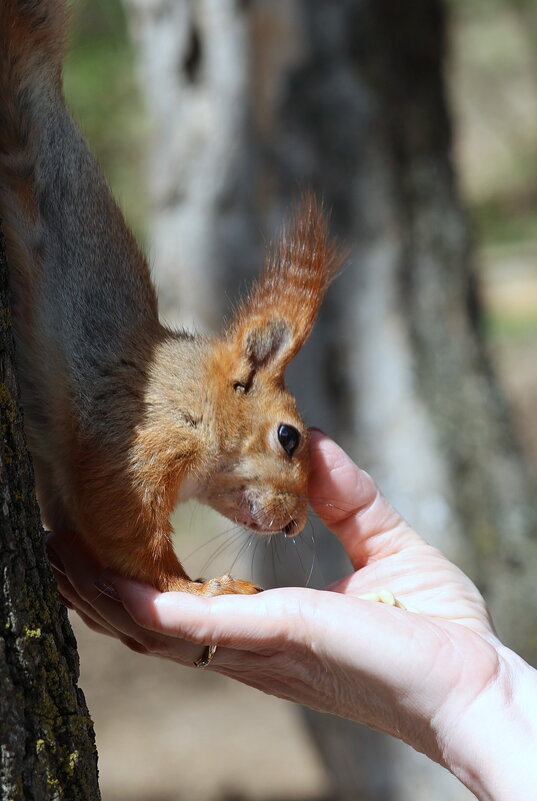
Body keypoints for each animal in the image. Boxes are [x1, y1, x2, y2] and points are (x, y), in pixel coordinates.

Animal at [1, 0, 340, 592]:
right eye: (288, 437)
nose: (296, 524)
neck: (189, 394)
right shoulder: (143, 437)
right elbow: (122, 523)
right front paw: (202, 586)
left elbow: (76, 520)